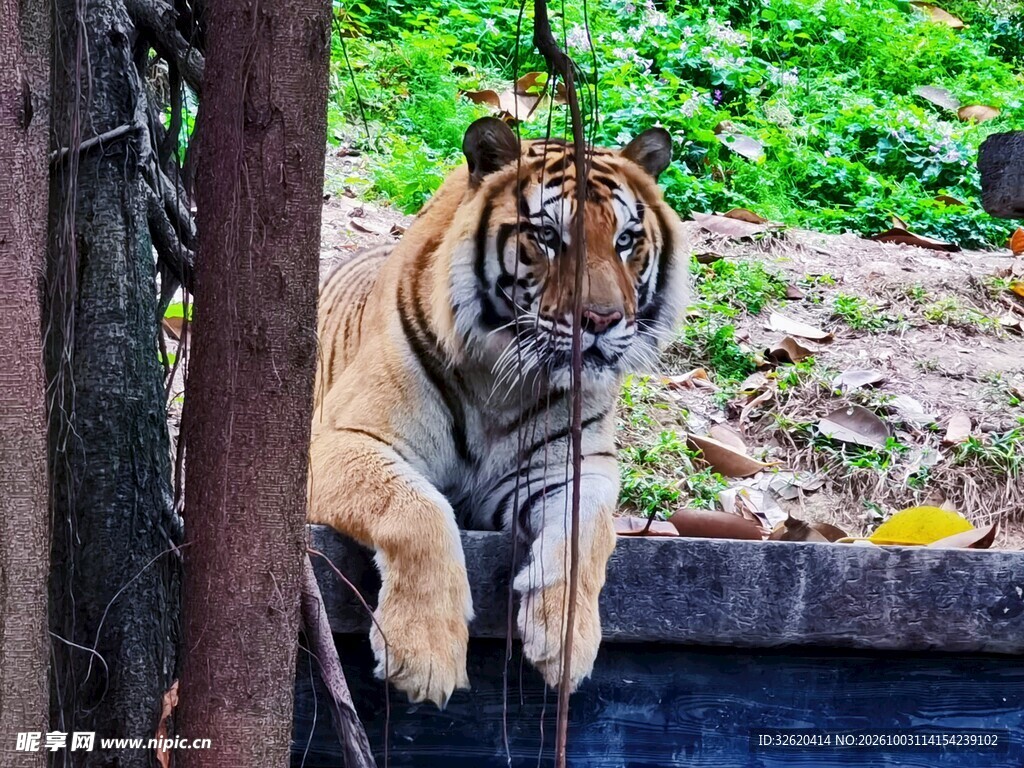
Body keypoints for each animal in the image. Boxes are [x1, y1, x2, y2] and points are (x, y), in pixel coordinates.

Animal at [309, 117, 690, 708]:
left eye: (626, 240)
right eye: (548, 237)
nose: (602, 320)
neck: (503, 382)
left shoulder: (576, 468)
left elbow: (588, 533)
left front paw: (565, 639)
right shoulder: (340, 437)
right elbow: (416, 507)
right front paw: (424, 655)